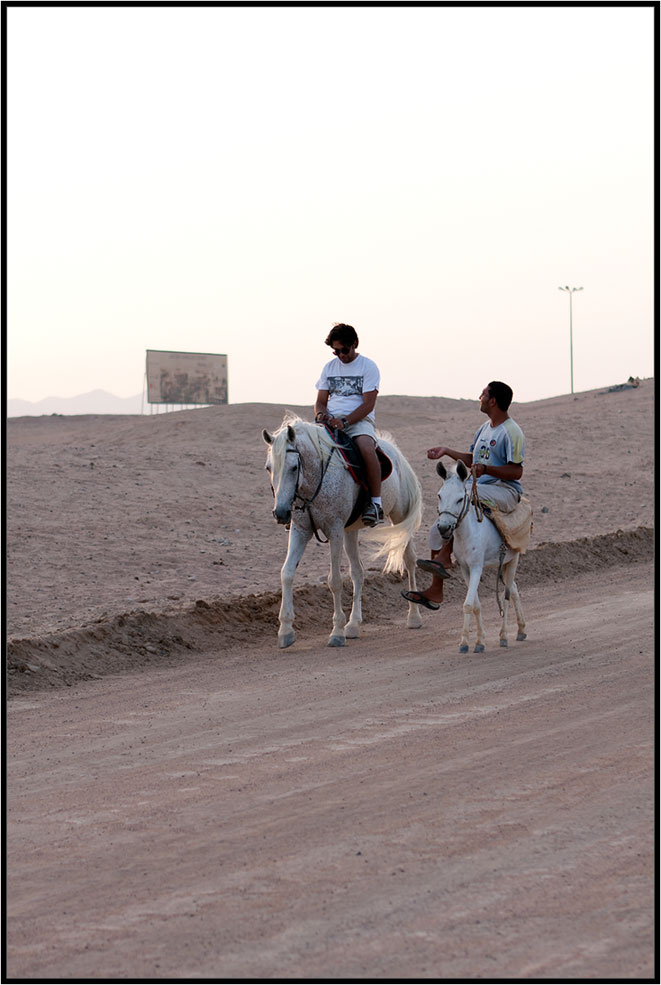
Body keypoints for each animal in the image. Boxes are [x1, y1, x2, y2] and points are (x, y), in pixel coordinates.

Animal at [262, 414, 422, 644]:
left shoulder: (335, 531)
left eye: (293, 467)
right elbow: (287, 573)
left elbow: (335, 580)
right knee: (358, 572)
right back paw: (353, 625)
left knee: (409, 560)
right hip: (350, 532)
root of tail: (396, 453)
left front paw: (336, 631)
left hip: (399, 518)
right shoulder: (300, 531)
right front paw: (285, 630)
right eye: (269, 468)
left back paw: (414, 616)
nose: (281, 513)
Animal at [434, 460, 524, 652]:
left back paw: (504, 636)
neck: (468, 533)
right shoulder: (465, 569)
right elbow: (475, 605)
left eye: (460, 499)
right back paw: (521, 629)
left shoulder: (476, 568)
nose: (444, 528)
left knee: (506, 596)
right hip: (502, 564)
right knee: (514, 590)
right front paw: (479, 640)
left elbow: (468, 604)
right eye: (439, 496)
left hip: (513, 560)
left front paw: (464, 643)